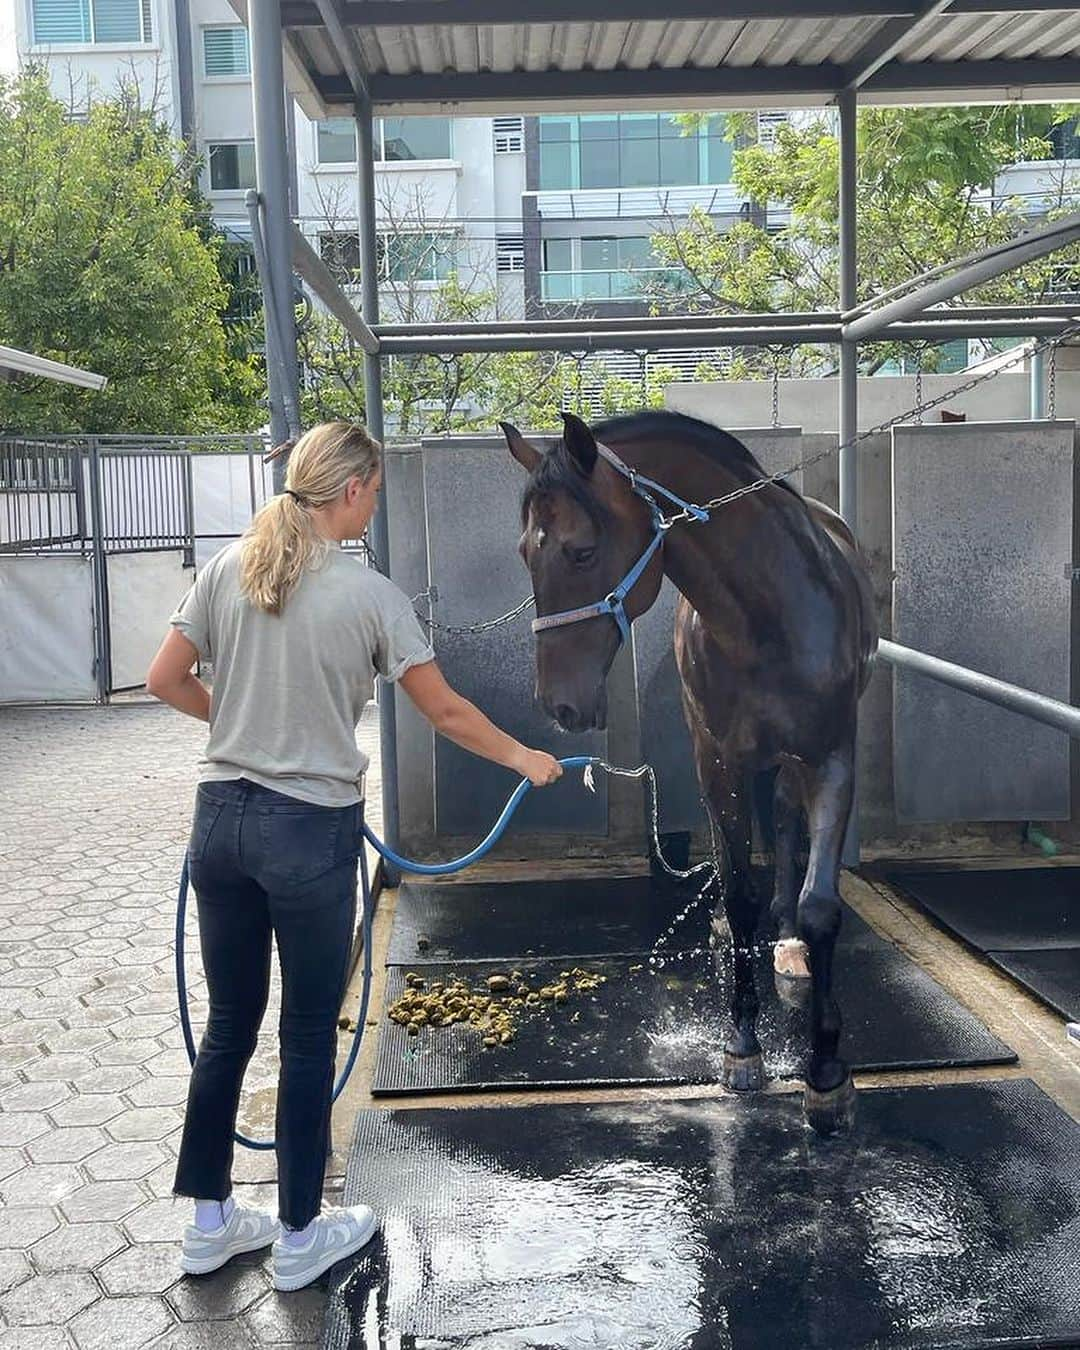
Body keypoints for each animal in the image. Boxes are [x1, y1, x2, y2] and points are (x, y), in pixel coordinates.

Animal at [504, 405, 874, 1134]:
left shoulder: (830, 759)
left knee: (784, 824)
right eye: (526, 553)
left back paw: (789, 942)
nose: (558, 704)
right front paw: (743, 1046)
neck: (766, 618)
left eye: (580, 550)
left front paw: (826, 1071)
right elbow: (738, 890)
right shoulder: (718, 761)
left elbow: (821, 907)